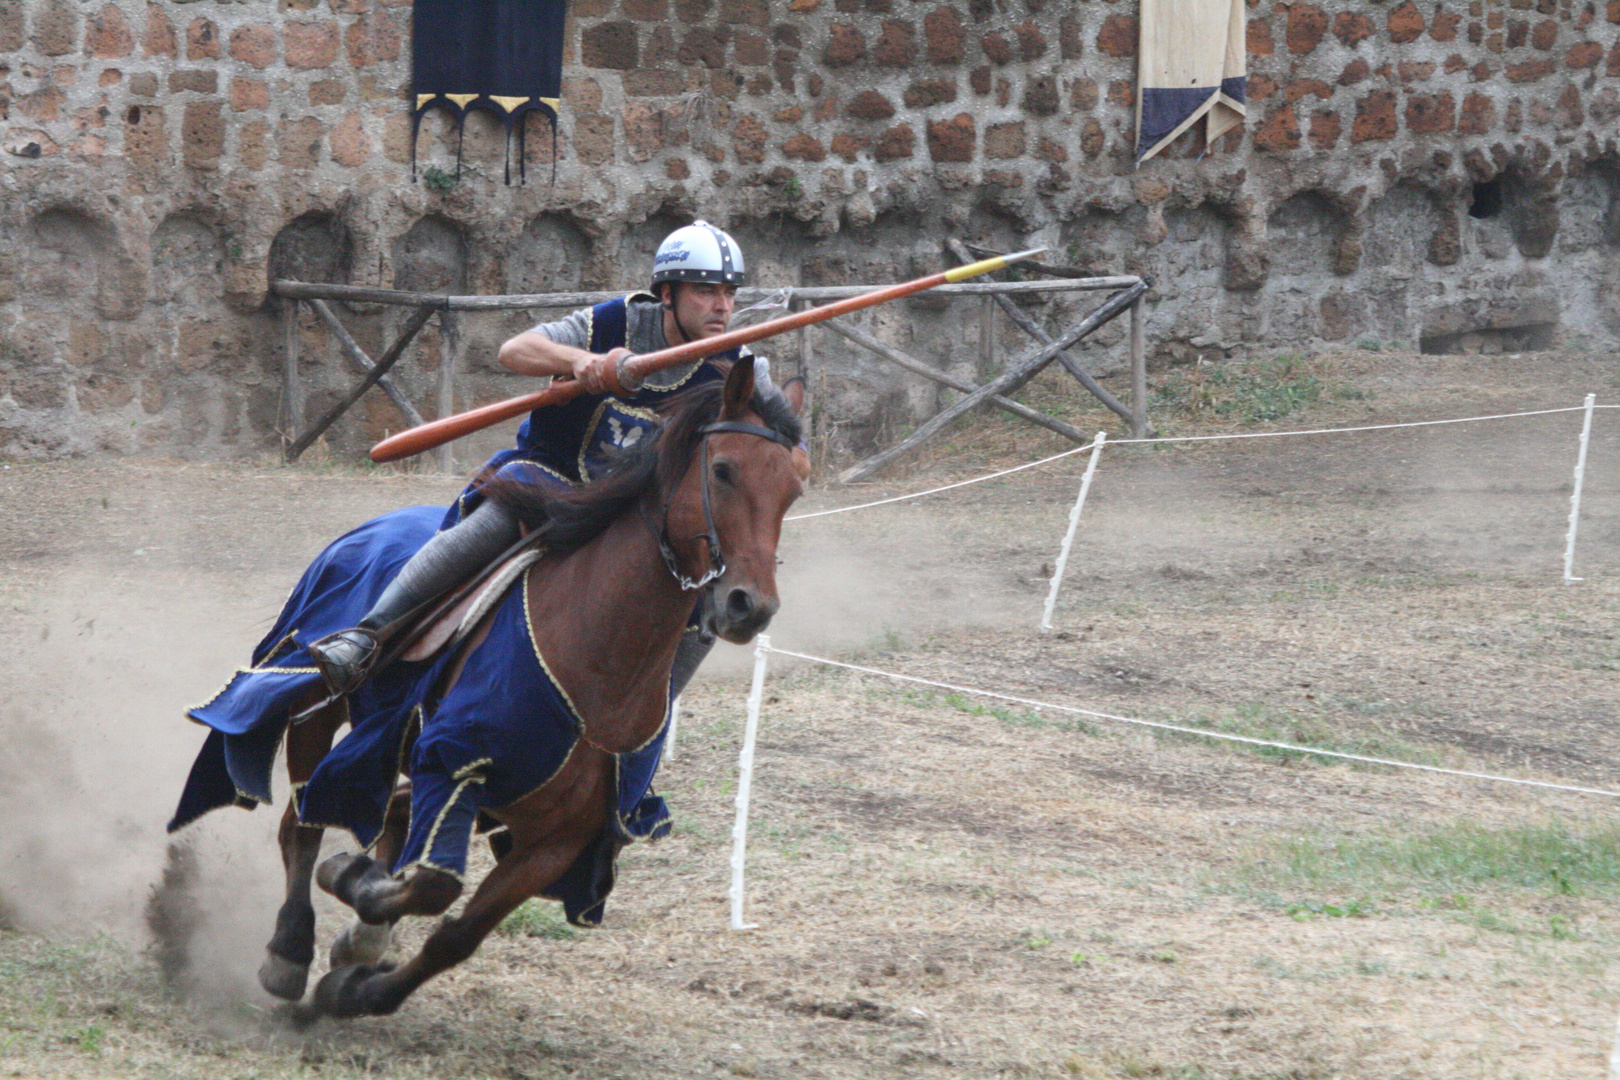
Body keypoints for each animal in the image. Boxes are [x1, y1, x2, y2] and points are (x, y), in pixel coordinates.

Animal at [251, 356, 803, 1023]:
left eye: (793, 490)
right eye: (722, 470)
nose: (751, 606)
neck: (598, 664)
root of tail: (367, 529)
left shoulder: (556, 841)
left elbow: (455, 933)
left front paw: (359, 984)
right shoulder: (455, 763)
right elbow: (431, 883)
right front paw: (350, 887)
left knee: (378, 814)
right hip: (315, 705)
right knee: (302, 819)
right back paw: (289, 947)